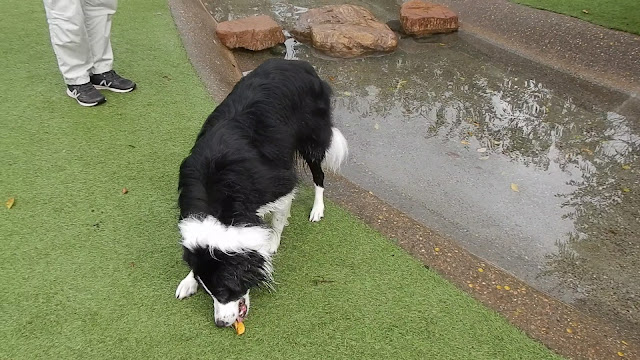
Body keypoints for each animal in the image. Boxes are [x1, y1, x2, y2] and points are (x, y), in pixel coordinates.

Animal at [172, 58, 348, 326]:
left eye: (226, 289)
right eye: (209, 291)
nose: (220, 324)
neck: (219, 198)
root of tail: (298, 63)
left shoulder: (280, 184)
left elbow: (277, 220)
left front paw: (271, 244)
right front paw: (188, 280)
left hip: (312, 136)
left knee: (319, 174)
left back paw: (318, 208)